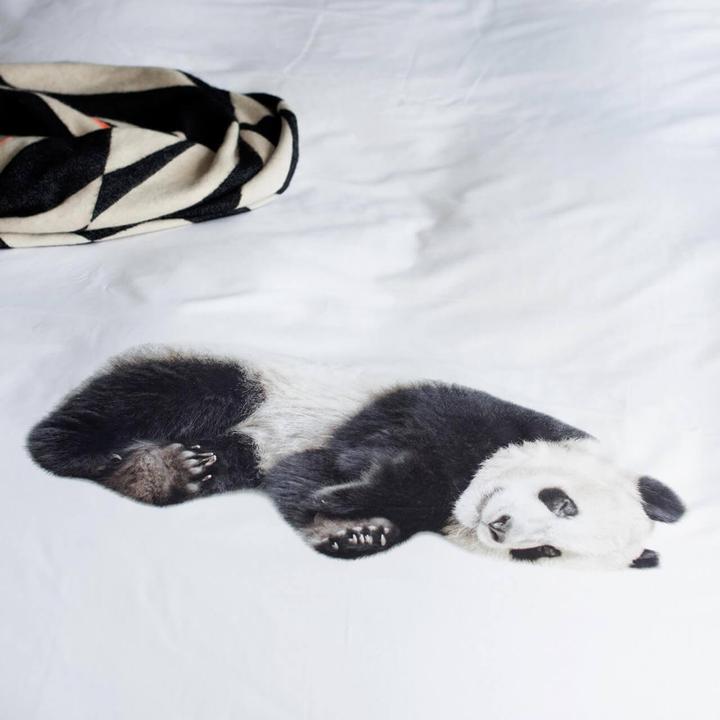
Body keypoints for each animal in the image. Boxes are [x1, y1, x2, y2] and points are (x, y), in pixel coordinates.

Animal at [26, 349, 686, 570]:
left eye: (543, 552)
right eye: (561, 502)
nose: (499, 527)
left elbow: (298, 484)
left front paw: (356, 533)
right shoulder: (450, 412)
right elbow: (358, 459)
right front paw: (352, 503)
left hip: (242, 445)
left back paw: (169, 473)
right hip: (250, 384)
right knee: (158, 397)